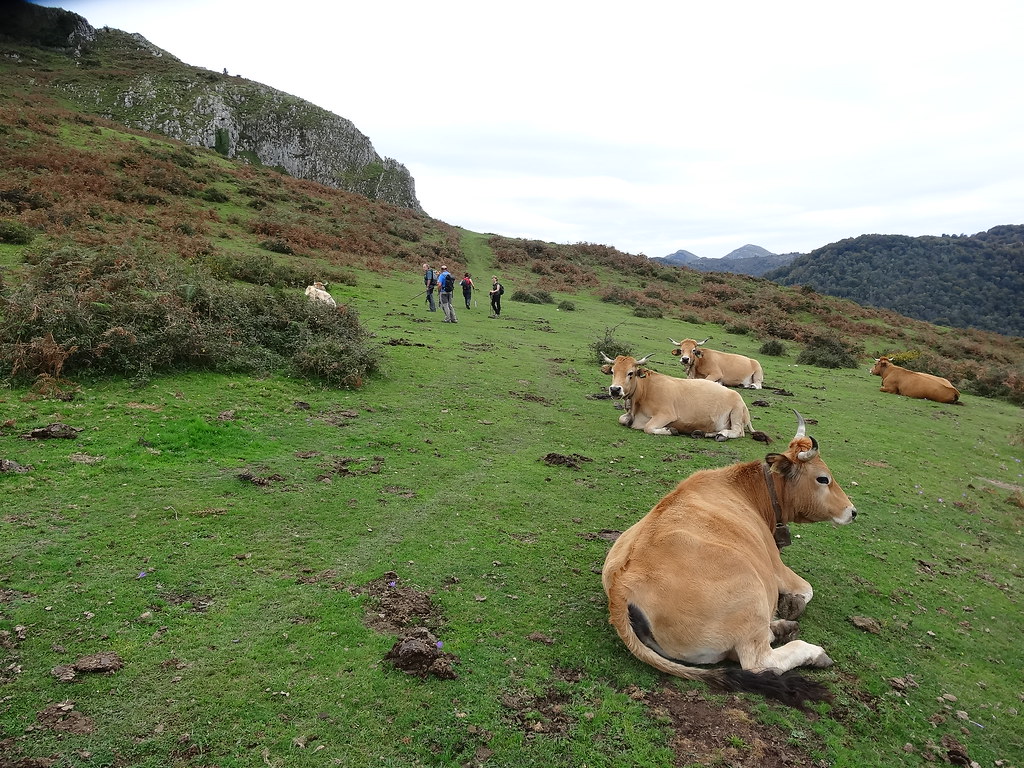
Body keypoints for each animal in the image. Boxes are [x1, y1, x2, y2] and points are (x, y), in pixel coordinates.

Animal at [598, 354, 761, 442]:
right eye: (613, 371)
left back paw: (722, 434)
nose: (615, 390)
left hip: (736, 412)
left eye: (630, 373)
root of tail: (737, 395)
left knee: (738, 431)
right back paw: (705, 433)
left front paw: (671, 430)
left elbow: (648, 427)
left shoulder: (666, 414)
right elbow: (622, 419)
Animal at [598, 415, 856, 708]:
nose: (852, 511)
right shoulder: (777, 568)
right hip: (751, 593)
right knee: (759, 661)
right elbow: (807, 590)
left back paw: (781, 627)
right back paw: (809, 649)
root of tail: (623, 585)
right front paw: (792, 605)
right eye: (823, 478)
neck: (750, 492)